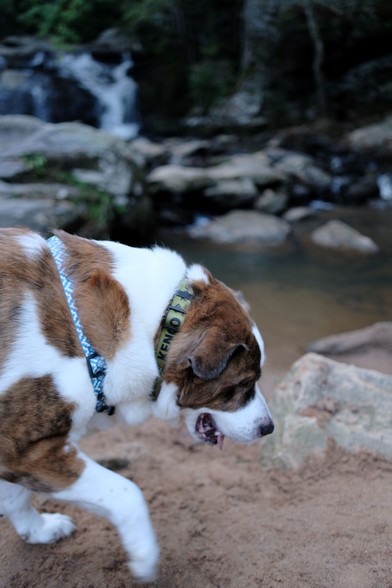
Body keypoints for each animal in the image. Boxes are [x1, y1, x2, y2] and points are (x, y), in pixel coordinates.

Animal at [0, 227, 272, 580]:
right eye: (244, 384)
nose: (269, 427)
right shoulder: (28, 449)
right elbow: (126, 492)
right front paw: (144, 556)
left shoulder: (15, 450)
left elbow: (15, 496)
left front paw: (38, 530)